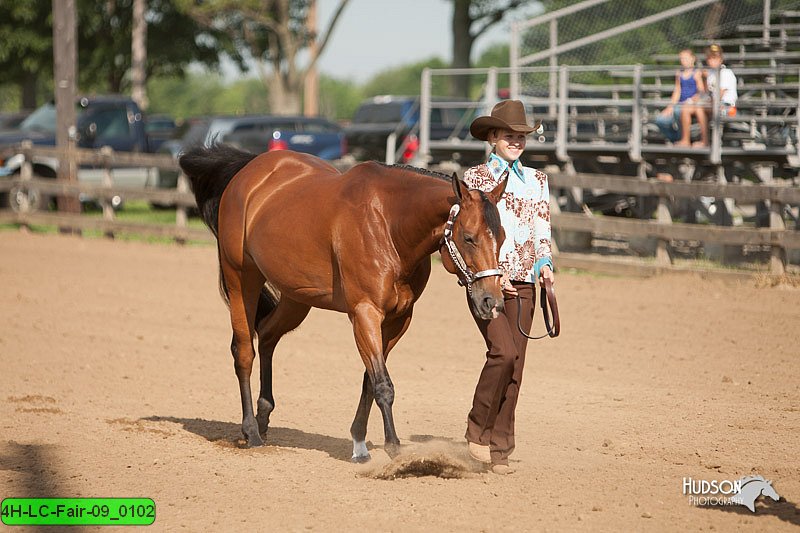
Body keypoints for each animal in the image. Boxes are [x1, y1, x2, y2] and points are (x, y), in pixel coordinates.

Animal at [182, 143, 506, 460]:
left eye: (502, 237)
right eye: (469, 238)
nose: (491, 300)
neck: (388, 224)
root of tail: (250, 171)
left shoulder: (399, 319)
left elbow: (369, 380)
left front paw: (359, 441)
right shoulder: (365, 313)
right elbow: (382, 384)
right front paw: (393, 448)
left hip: (296, 297)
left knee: (268, 334)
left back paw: (263, 417)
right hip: (242, 280)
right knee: (244, 351)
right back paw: (251, 431)